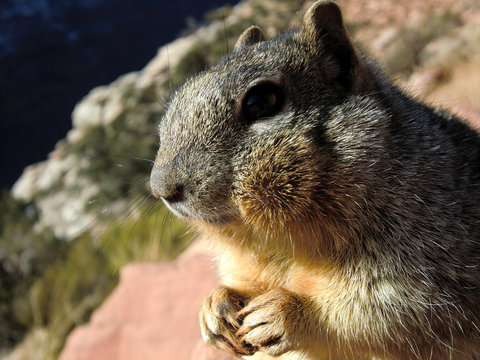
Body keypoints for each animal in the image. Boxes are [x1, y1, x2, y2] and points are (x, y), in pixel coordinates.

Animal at [150, 1, 480, 358]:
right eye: (175, 102)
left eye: (261, 101)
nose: (161, 189)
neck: (280, 245)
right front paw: (213, 307)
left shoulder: (432, 257)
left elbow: (384, 312)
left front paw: (285, 313)